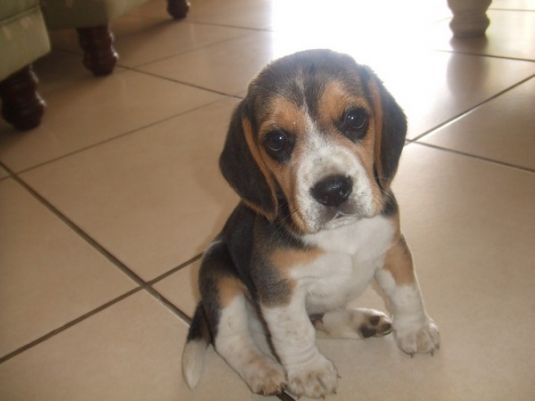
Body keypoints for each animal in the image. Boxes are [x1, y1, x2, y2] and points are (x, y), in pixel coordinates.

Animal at [180, 49, 440, 396]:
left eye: (354, 118)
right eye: (276, 139)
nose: (332, 190)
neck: (341, 233)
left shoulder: (393, 249)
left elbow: (407, 293)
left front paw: (415, 330)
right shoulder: (279, 289)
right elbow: (295, 333)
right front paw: (310, 372)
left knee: (321, 319)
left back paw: (362, 324)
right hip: (216, 268)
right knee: (231, 340)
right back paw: (262, 369)